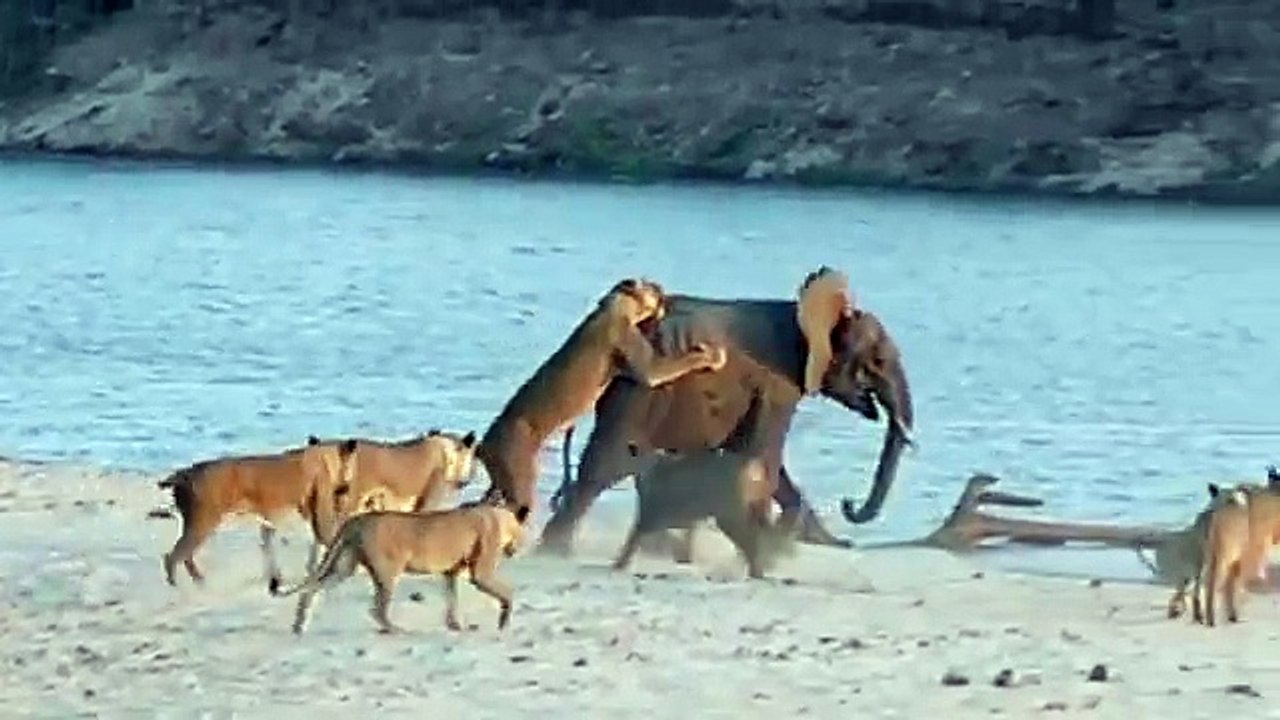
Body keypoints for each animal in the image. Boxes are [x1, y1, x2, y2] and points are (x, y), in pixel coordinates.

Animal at [157, 436, 358, 588]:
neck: (324, 457)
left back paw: (199, 581)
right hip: (202, 524)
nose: (347, 488)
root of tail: (185, 473)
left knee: (184, 557)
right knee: (173, 558)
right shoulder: (320, 517)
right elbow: (330, 541)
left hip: (198, 526)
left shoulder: (271, 523)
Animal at [272, 496, 531, 635]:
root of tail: (356, 520)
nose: (516, 549)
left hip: (344, 566)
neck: (498, 516)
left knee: (310, 590)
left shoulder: (450, 573)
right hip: (388, 571)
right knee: (376, 609)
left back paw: (299, 625)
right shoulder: (480, 574)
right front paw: (504, 621)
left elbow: (451, 598)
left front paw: (454, 625)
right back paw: (396, 630)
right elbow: (507, 592)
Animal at [477, 278, 726, 519]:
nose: (660, 287)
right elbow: (680, 362)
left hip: (500, 483)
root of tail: (485, 444)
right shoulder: (646, 365)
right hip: (518, 476)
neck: (614, 305)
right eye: (650, 285)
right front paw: (711, 355)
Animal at [538, 291, 914, 554]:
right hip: (640, 388)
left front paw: (815, 542)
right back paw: (555, 552)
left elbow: (769, 466)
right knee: (606, 466)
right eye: (876, 361)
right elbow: (764, 455)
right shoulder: (778, 386)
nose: (848, 504)